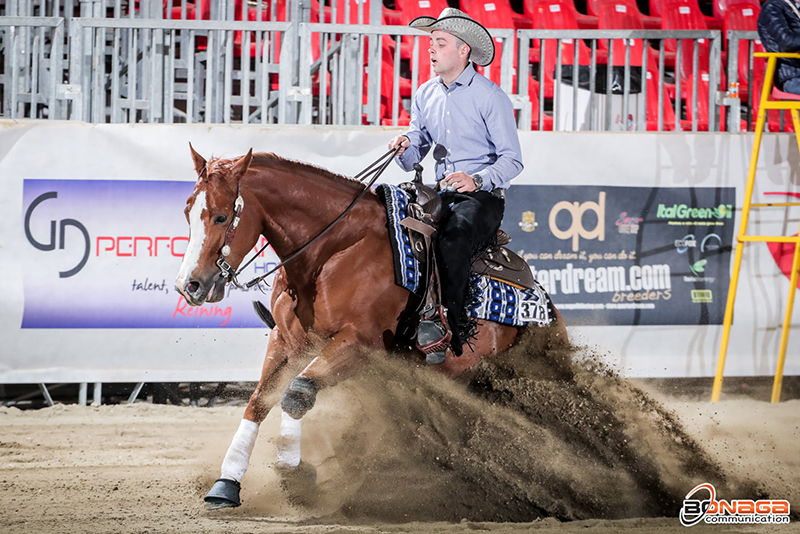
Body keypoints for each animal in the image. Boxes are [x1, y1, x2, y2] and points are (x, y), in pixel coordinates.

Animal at [175, 147, 564, 510]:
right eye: (187, 211)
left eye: (222, 215)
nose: (189, 285)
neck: (335, 248)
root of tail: (544, 306)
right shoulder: (287, 340)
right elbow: (260, 400)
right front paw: (226, 483)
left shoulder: (359, 344)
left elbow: (297, 393)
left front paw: (292, 471)